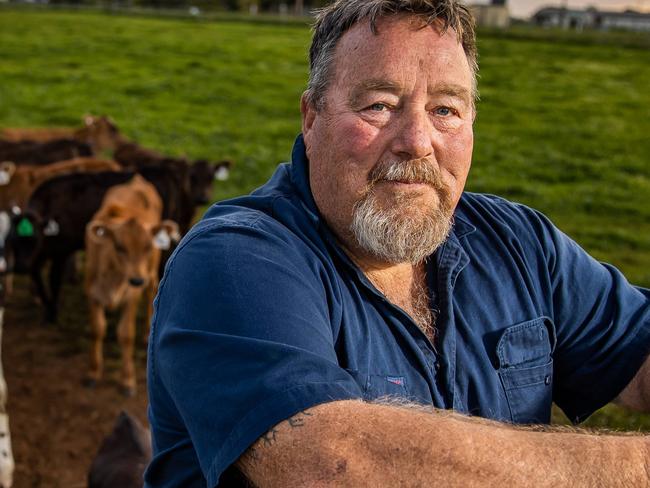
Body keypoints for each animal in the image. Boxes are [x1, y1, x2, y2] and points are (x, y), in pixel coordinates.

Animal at [85, 175, 180, 396]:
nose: (137, 280)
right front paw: (93, 372)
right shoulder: (92, 293)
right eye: (119, 246)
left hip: (152, 274)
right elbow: (97, 329)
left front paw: (127, 380)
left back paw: (146, 334)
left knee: (151, 296)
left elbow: (126, 334)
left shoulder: (131, 296)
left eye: (147, 247)